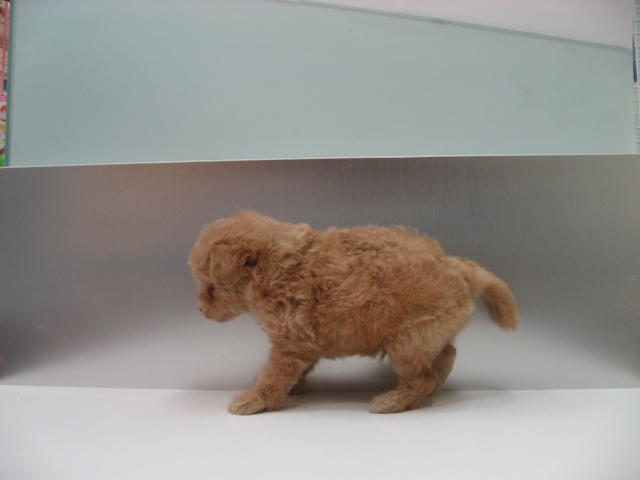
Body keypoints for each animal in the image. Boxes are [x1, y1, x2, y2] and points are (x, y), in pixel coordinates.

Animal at [189, 210, 518, 415]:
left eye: (212, 286)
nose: (200, 308)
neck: (272, 266)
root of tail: (457, 267)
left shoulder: (291, 341)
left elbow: (275, 374)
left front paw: (254, 399)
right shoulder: (302, 341)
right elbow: (292, 370)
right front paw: (291, 387)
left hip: (407, 340)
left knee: (422, 376)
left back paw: (394, 401)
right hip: (427, 332)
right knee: (446, 353)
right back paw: (434, 385)